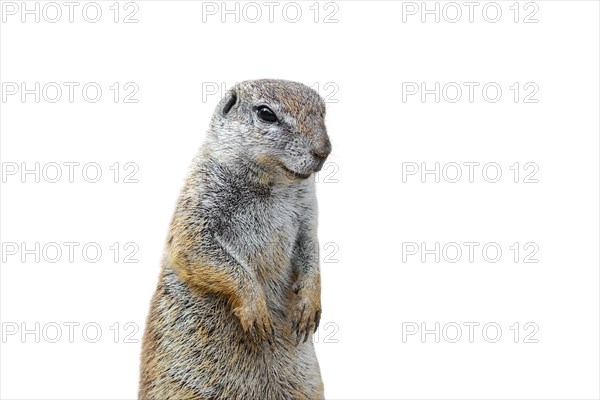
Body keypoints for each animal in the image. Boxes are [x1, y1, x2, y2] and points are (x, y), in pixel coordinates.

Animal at [141, 79, 332, 400]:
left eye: (323, 112)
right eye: (266, 114)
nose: (324, 150)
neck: (271, 184)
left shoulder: (308, 212)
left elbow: (310, 249)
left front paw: (309, 304)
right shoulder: (199, 198)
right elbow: (194, 248)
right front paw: (256, 310)